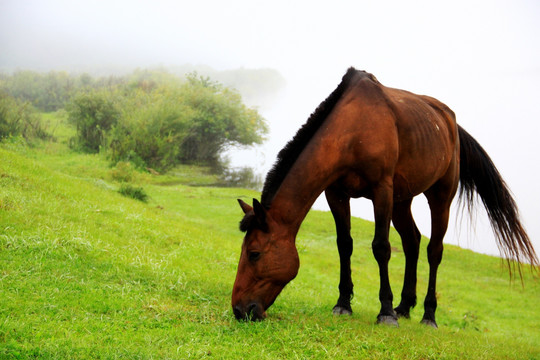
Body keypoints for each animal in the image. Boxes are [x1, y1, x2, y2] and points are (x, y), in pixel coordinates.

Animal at [230, 67, 536, 326]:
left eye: (254, 253)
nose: (239, 309)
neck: (354, 129)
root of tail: (449, 121)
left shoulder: (381, 191)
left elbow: (381, 247)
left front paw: (385, 312)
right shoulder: (335, 194)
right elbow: (344, 244)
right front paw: (344, 304)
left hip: (439, 196)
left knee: (434, 251)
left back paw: (428, 315)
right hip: (402, 200)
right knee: (412, 242)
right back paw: (405, 306)